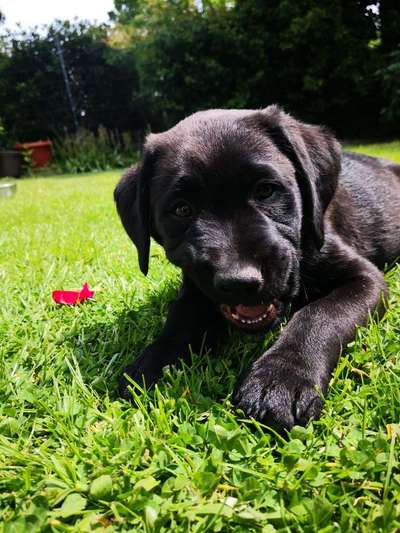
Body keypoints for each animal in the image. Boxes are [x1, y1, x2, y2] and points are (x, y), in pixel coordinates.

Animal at [114, 106, 400, 430]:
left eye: (266, 191)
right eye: (182, 209)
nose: (240, 281)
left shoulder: (364, 278)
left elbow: (321, 314)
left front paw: (280, 378)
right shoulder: (194, 288)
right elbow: (180, 318)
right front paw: (154, 360)